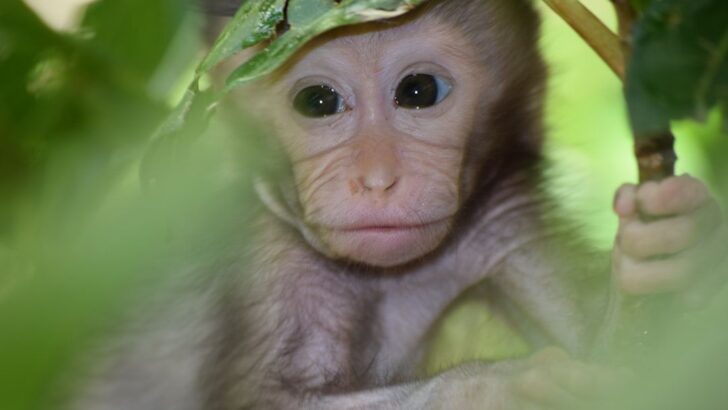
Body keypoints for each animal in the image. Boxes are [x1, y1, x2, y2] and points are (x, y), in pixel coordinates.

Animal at [67, 0, 726, 409]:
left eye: (418, 91)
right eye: (317, 101)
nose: (376, 180)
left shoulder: (503, 214)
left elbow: (638, 362)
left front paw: (681, 250)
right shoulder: (274, 259)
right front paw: (499, 390)